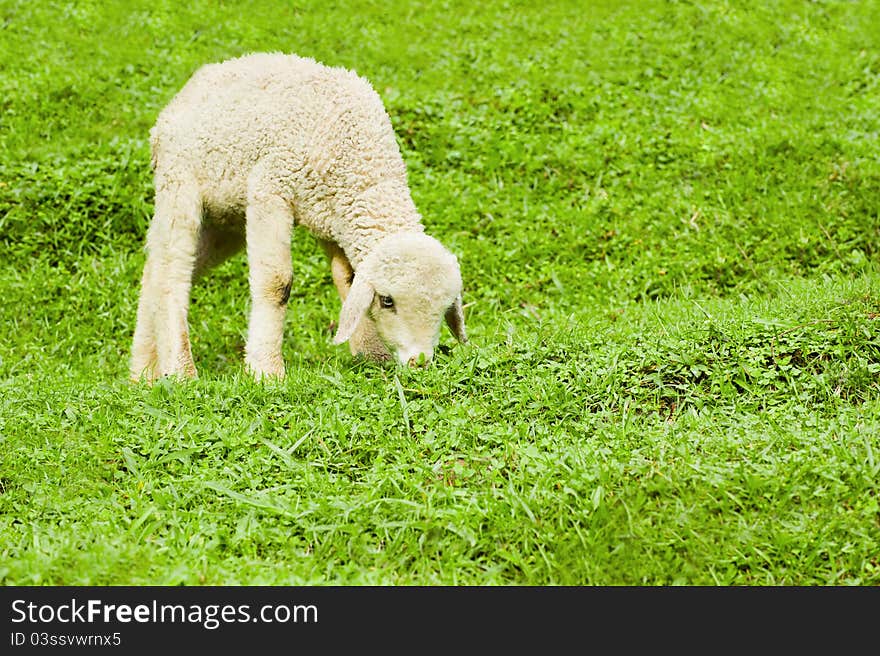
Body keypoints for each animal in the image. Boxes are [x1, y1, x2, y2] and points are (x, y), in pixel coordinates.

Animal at [129, 53, 468, 382]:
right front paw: (265, 372)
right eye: (387, 300)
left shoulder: (333, 217)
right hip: (179, 181)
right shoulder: (271, 186)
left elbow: (348, 280)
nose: (418, 363)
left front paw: (372, 356)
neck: (362, 161)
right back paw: (180, 371)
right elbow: (276, 282)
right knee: (171, 271)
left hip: (224, 219)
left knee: (155, 270)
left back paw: (143, 375)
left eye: (444, 307)